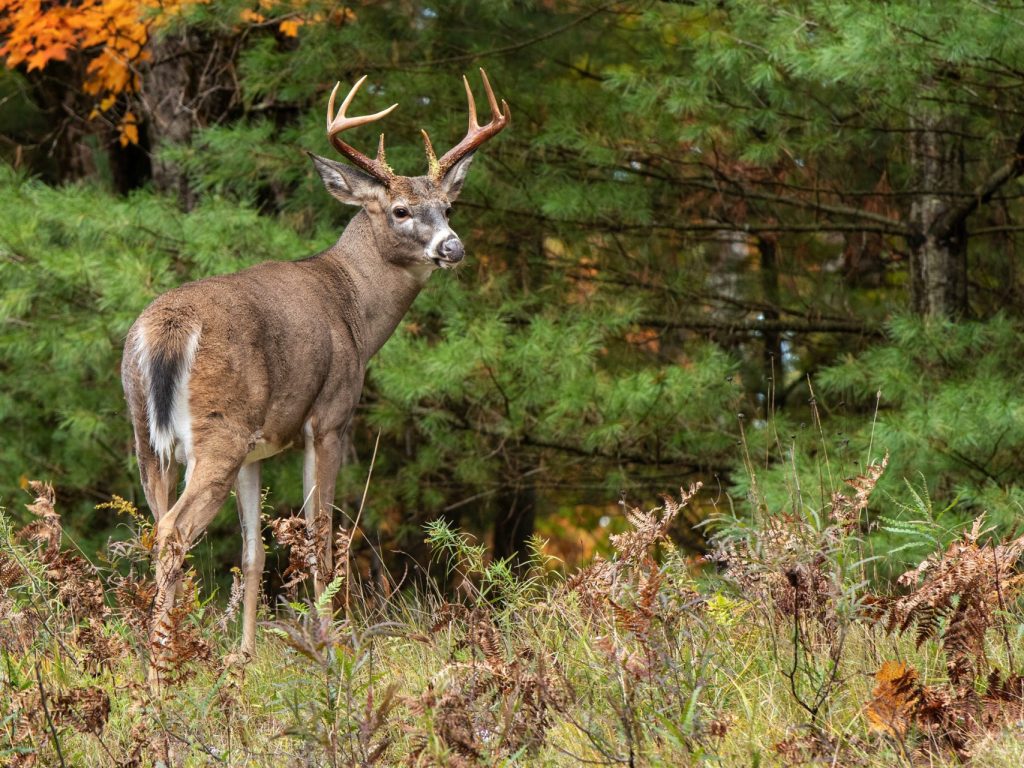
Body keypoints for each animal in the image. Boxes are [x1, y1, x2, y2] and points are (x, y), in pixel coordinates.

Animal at [121, 69, 509, 675]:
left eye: (448, 206)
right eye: (400, 210)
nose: (453, 247)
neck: (355, 308)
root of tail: (167, 329)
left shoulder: (259, 447)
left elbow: (254, 552)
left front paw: (245, 656)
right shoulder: (329, 418)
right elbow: (320, 541)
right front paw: (329, 646)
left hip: (147, 435)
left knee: (157, 527)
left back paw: (160, 656)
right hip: (218, 430)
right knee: (174, 530)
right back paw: (162, 667)